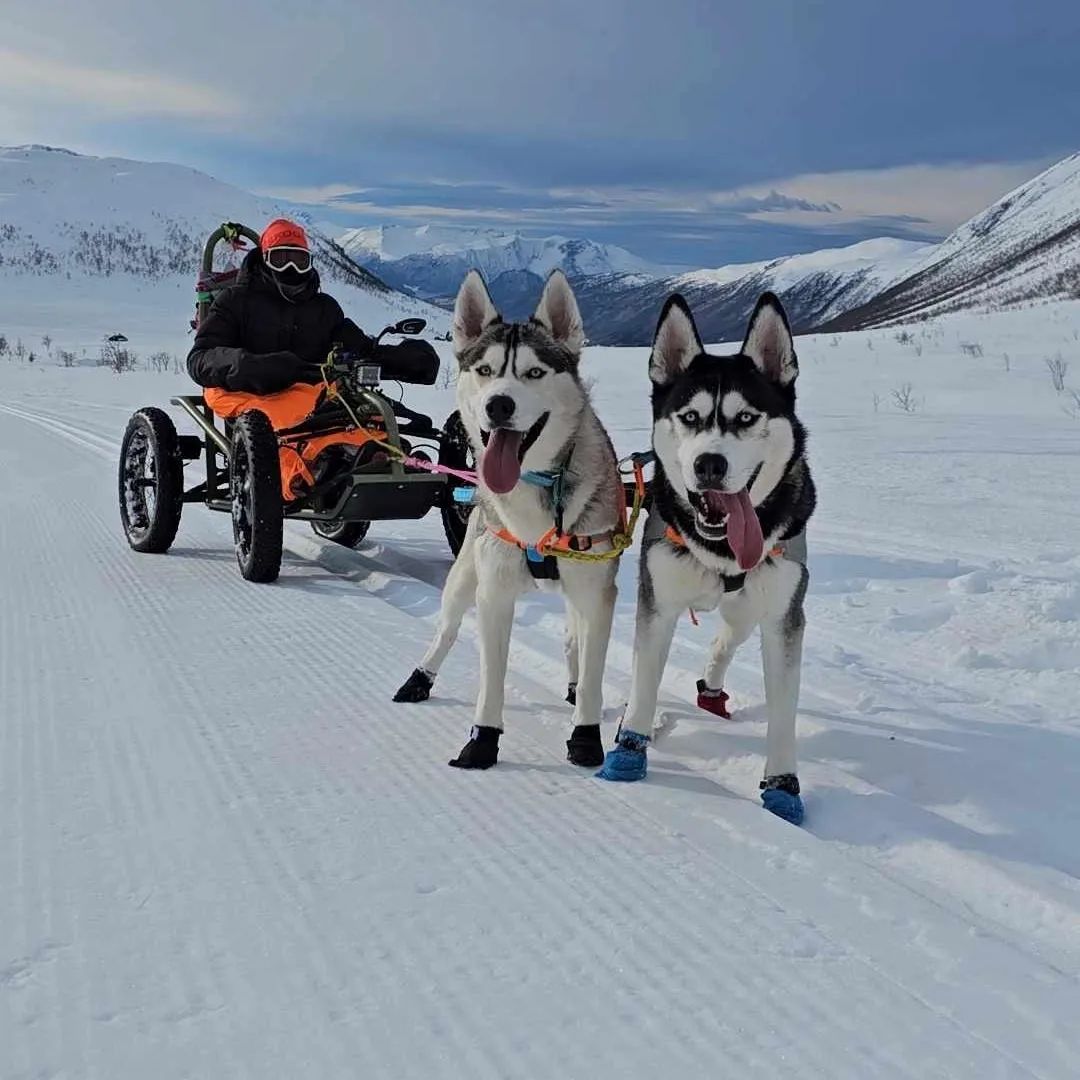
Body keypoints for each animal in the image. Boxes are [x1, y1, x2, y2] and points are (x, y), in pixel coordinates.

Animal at [395, 274, 626, 773]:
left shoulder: (597, 595)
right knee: (446, 629)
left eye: (534, 373)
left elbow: (593, 674)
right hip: (464, 575)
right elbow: (492, 677)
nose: (498, 405)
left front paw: (586, 736)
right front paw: (482, 742)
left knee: (574, 640)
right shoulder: (494, 593)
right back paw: (419, 678)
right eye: (484, 370)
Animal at [596, 291, 812, 820]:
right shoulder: (658, 602)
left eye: (747, 417)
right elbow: (645, 678)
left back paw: (712, 686)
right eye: (690, 417)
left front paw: (783, 787)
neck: (722, 549)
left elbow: (783, 711)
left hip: (750, 608)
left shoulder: (783, 617)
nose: (708, 464)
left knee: (728, 637)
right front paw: (629, 751)